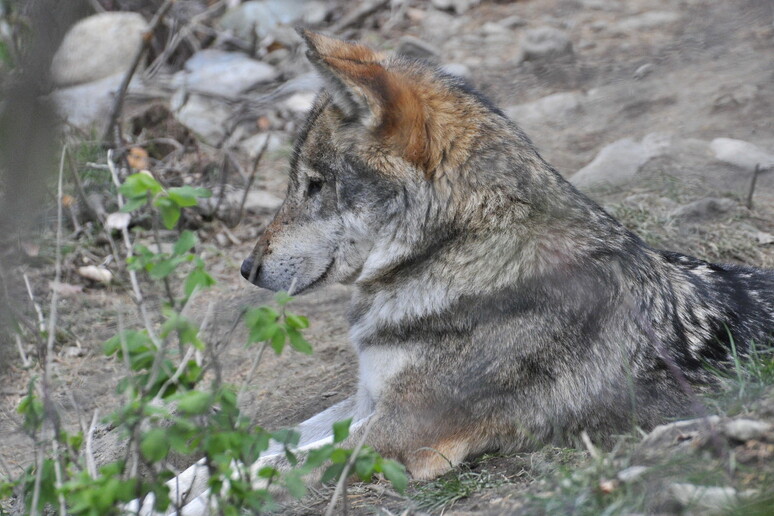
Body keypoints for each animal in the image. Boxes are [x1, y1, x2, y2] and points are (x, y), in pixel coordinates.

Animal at [236, 30, 774, 484]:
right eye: (301, 183)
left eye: (314, 185)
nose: (246, 268)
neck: (458, 253)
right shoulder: (370, 397)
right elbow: (267, 442)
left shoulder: (399, 430)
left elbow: (280, 463)